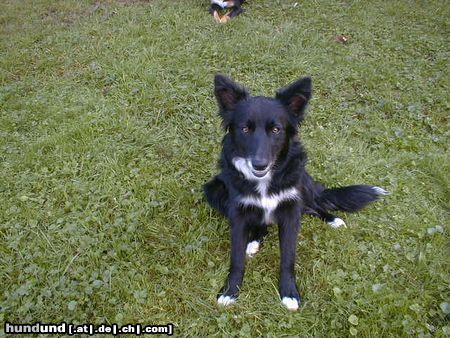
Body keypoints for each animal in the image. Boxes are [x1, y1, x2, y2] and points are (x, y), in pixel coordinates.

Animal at [204, 74, 386, 312]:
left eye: (276, 130)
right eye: (245, 129)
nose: (260, 164)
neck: (265, 180)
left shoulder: (291, 212)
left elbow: (288, 258)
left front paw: (289, 293)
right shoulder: (239, 212)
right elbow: (236, 259)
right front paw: (230, 291)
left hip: (304, 184)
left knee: (315, 205)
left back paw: (333, 219)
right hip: (214, 189)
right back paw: (253, 242)